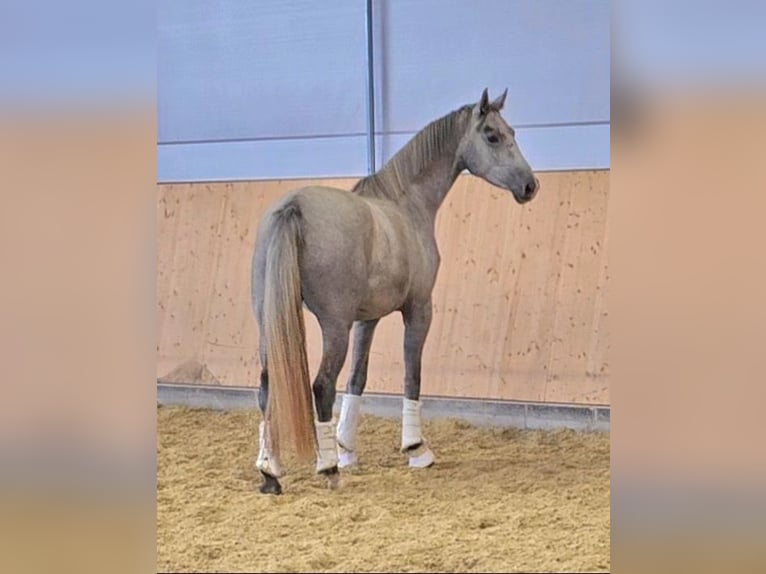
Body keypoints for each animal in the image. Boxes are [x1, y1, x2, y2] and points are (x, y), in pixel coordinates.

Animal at [252, 89, 540, 496]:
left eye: (510, 131)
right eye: (492, 136)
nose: (530, 186)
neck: (406, 204)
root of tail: (293, 208)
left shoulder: (367, 319)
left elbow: (358, 378)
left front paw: (347, 449)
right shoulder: (418, 309)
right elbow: (411, 374)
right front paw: (416, 449)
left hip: (270, 323)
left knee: (267, 386)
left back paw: (270, 472)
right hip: (334, 326)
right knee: (321, 385)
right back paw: (327, 470)